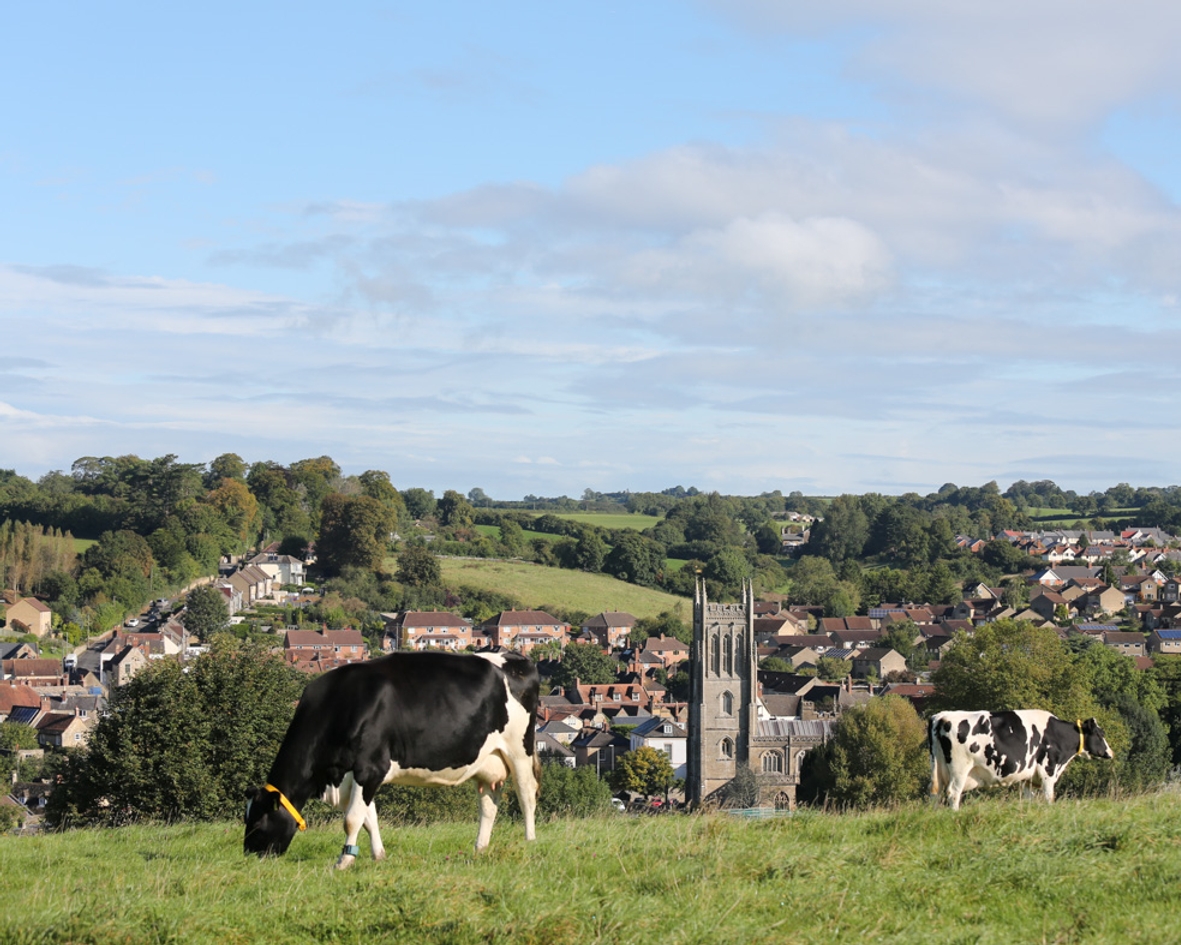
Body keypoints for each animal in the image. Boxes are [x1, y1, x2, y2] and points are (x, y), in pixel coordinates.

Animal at [249, 652, 543, 869]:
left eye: (257, 823)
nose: (249, 855)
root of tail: (517, 659)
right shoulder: (356, 774)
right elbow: (369, 817)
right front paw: (378, 855)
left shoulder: (369, 768)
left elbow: (352, 819)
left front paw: (344, 860)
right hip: (487, 762)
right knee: (489, 804)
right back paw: (480, 848)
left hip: (519, 749)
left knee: (526, 794)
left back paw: (530, 842)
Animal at [925, 708, 1110, 812]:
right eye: (1100, 734)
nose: (1110, 753)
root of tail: (941, 717)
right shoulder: (1048, 770)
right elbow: (1049, 796)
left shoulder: (1029, 778)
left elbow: (1030, 798)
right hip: (960, 768)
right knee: (953, 792)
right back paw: (954, 814)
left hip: (937, 767)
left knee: (935, 792)